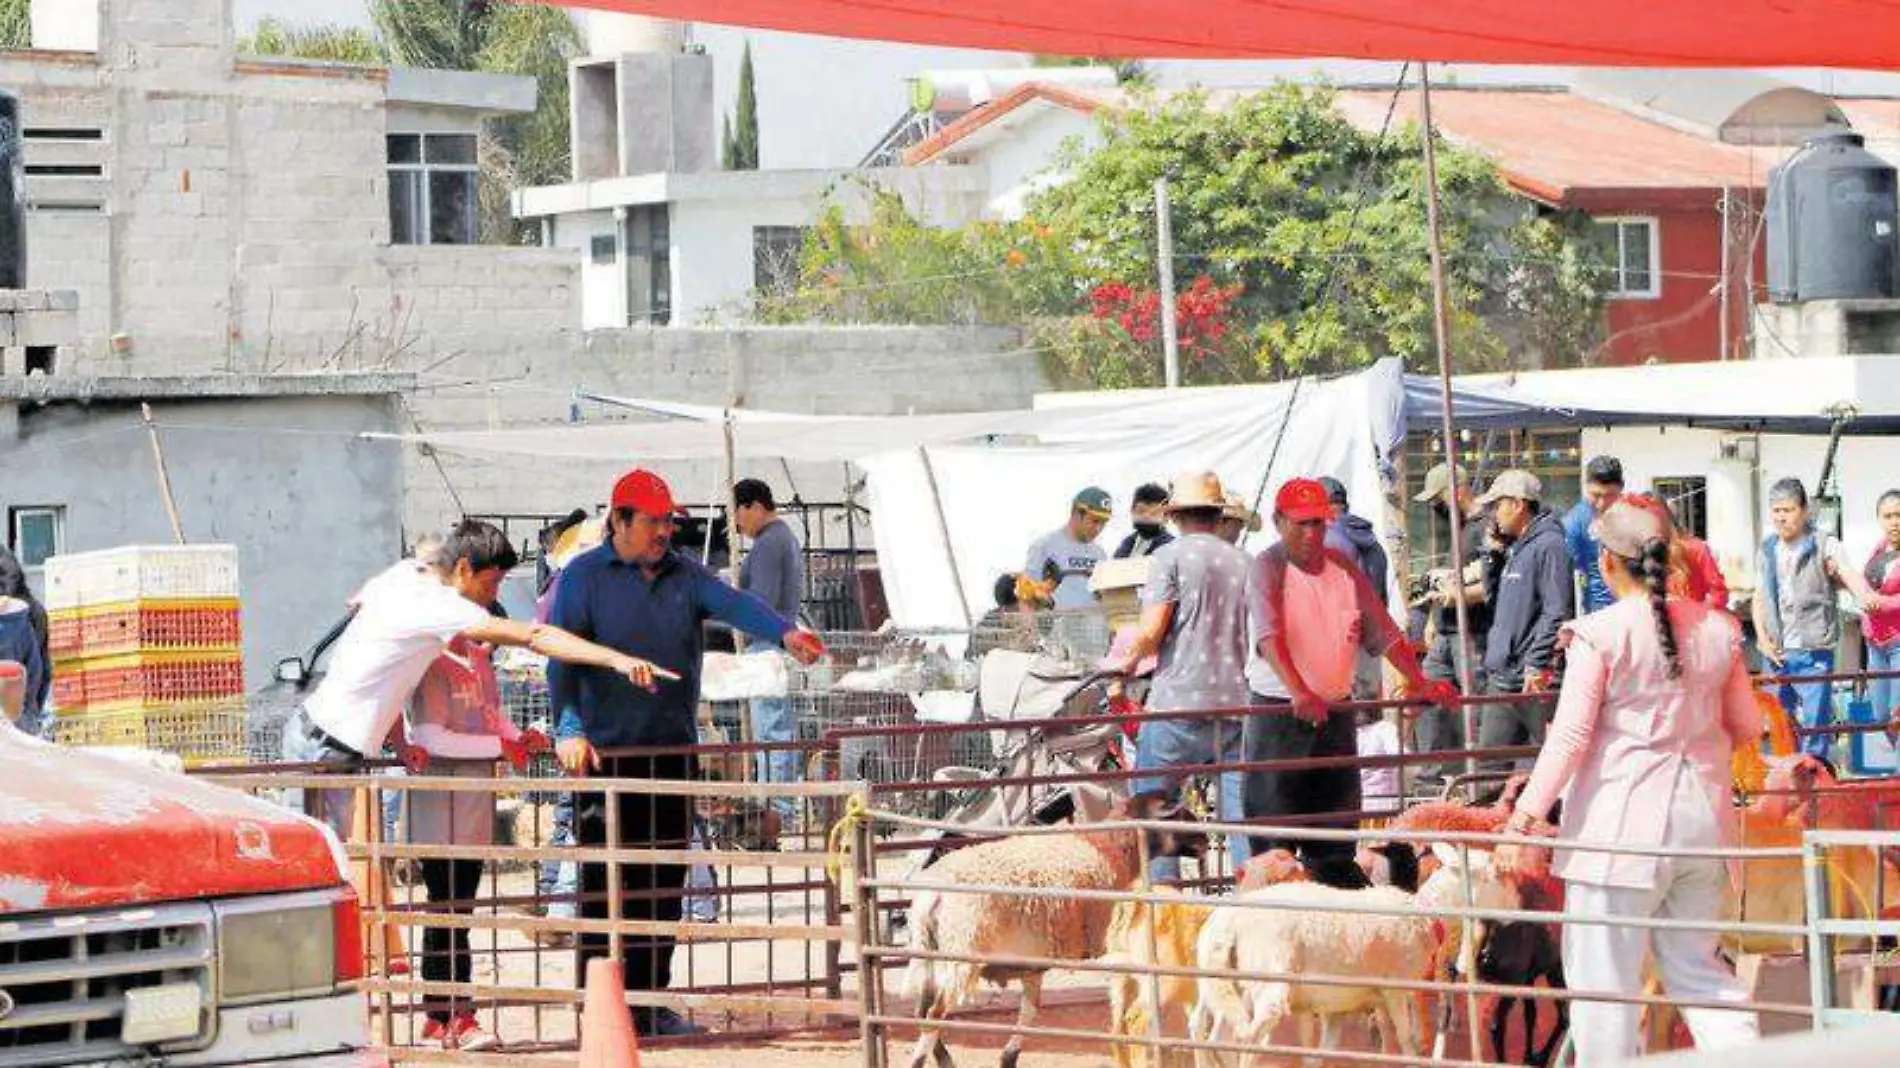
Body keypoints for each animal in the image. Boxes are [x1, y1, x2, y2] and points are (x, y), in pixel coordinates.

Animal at [900, 794, 1200, 1064]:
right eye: (1180, 815)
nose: (1205, 840)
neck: (1111, 847)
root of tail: (932, 895)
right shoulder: (1106, 944)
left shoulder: (1033, 963)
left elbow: (1030, 1013)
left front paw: (1009, 1056)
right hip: (961, 953)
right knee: (933, 1015)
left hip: (929, 954)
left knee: (920, 1012)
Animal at [1178, 877, 1428, 1064]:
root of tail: (1228, 923)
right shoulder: (1396, 987)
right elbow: (1406, 1038)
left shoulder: (1335, 1004)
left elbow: (1318, 1050)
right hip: (1268, 981)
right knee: (1248, 1039)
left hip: (1222, 982)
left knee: (1209, 1033)